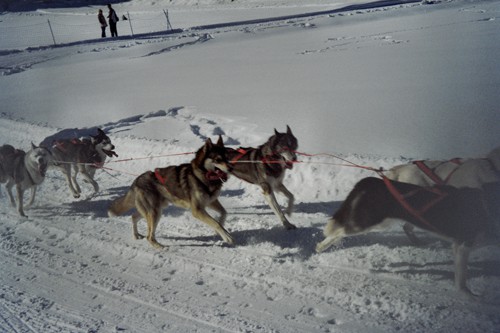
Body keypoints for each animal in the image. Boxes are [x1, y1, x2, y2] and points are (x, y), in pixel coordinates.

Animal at [316, 176, 500, 296]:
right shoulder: (463, 245)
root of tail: (373, 180)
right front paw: (468, 294)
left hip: (379, 223)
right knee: (339, 230)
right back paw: (322, 245)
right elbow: (462, 279)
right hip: (368, 222)